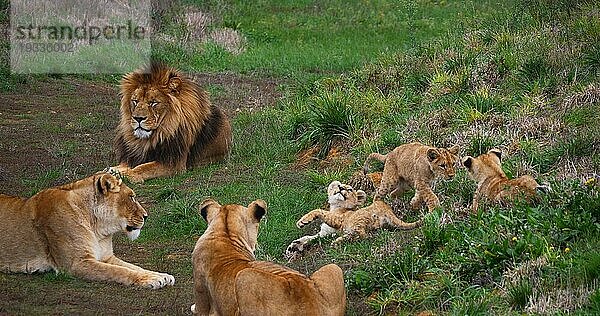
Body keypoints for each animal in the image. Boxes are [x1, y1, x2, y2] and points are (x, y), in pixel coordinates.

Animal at [0, 170, 173, 288]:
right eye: (131, 197)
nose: (146, 216)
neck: (98, 229)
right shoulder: (77, 263)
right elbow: (119, 271)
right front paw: (151, 279)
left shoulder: (106, 257)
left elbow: (133, 267)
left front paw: (161, 276)